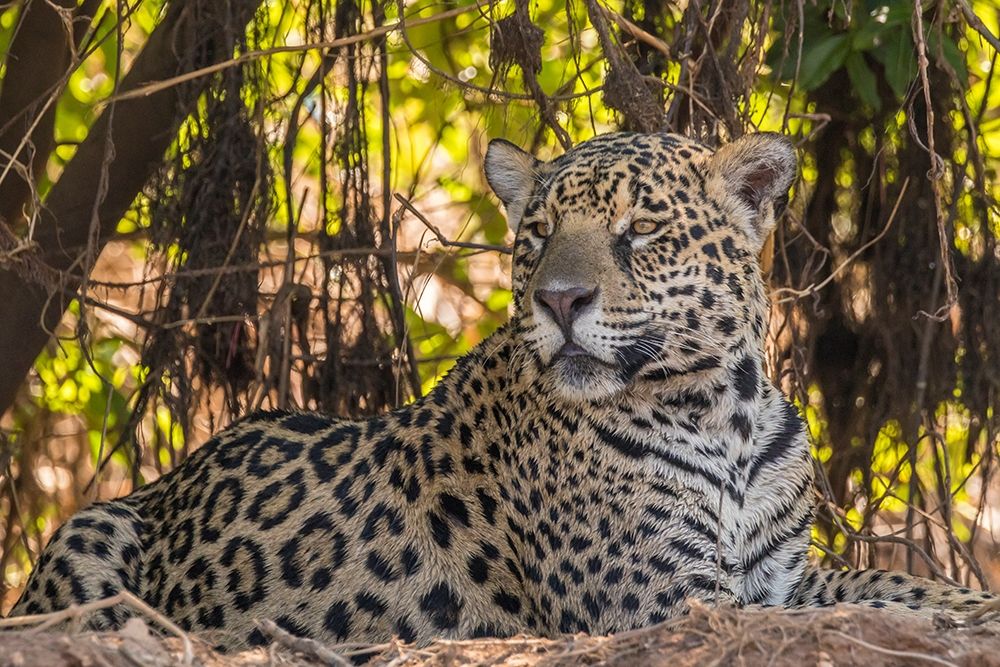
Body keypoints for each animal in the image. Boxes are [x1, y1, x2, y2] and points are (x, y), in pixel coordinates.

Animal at [9, 131, 996, 650]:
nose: (561, 300)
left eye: (641, 231)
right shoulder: (669, 601)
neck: (726, 413)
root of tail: (171, 480)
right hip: (93, 526)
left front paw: (973, 602)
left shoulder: (780, 575)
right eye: (540, 234)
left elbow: (892, 583)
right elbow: (872, 601)